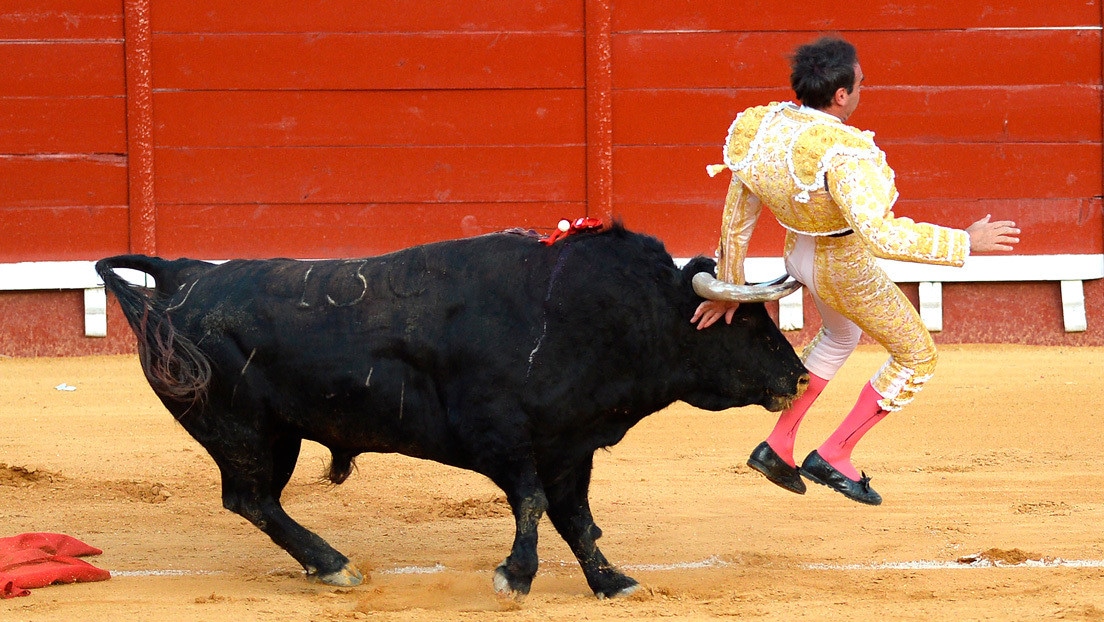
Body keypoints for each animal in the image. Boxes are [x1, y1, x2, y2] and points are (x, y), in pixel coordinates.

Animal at [97, 224, 803, 596]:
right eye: (744, 322)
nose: (797, 377)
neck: (588, 313)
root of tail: (182, 276)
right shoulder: (503, 439)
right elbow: (533, 504)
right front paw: (515, 576)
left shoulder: (568, 446)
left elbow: (576, 517)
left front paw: (611, 581)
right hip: (245, 432)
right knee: (250, 499)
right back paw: (333, 564)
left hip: (272, 436)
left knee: (255, 501)